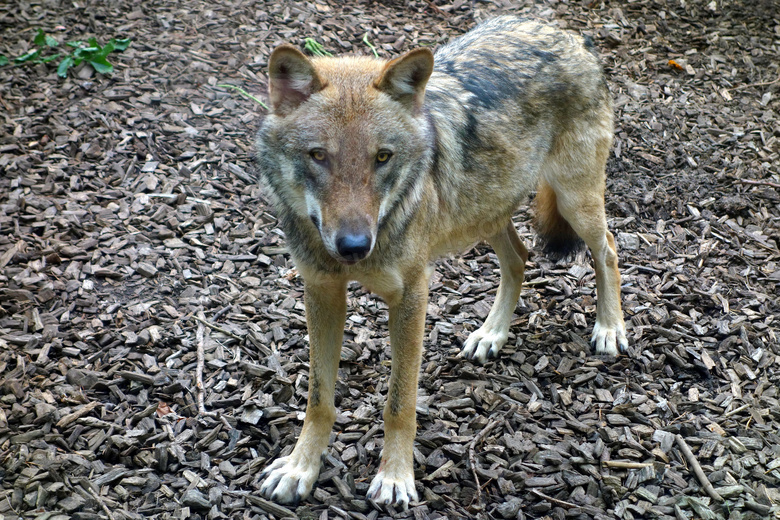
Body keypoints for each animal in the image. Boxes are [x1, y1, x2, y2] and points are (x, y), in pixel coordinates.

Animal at [256, 15, 628, 508]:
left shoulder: (412, 296)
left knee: (608, 249)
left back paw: (609, 328)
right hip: (488, 213)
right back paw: (490, 335)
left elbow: (399, 403)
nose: (354, 247)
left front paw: (396, 477)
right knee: (520, 259)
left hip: (574, 203)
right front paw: (301, 468)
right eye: (318, 156)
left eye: (382, 158)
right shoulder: (321, 291)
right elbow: (319, 400)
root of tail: (567, 33)